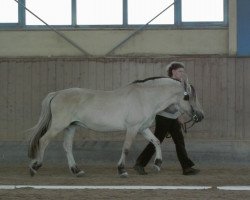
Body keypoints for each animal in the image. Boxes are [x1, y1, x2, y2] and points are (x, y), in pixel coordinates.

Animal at [27, 76, 203, 178]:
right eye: (187, 97)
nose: (200, 116)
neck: (145, 98)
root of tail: (56, 94)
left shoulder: (143, 128)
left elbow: (156, 142)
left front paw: (157, 164)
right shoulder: (132, 128)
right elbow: (126, 148)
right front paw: (122, 170)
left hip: (70, 127)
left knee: (67, 147)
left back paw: (76, 170)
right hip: (59, 125)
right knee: (43, 141)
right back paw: (35, 167)